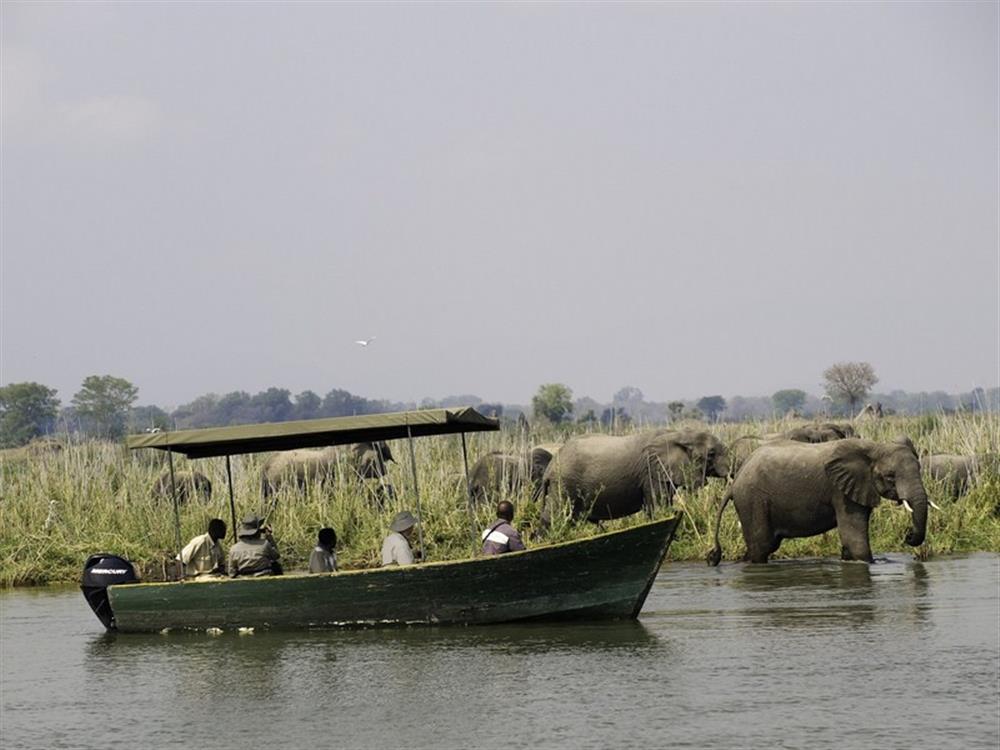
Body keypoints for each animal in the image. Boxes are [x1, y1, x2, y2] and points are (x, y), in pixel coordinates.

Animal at [540, 426, 728, 524]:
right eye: (711, 454)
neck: (678, 433)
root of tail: (549, 468)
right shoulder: (651, 472)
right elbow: (659, 508)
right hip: (564, 483)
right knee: (555, 517)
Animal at [704, 434, 928, 564]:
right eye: (890, 476)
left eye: (920, 468)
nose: (907, 535)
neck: (875, 446)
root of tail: (735, 482)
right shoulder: (841, 491)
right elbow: (854, 539)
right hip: (752, 500)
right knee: (761, 546)